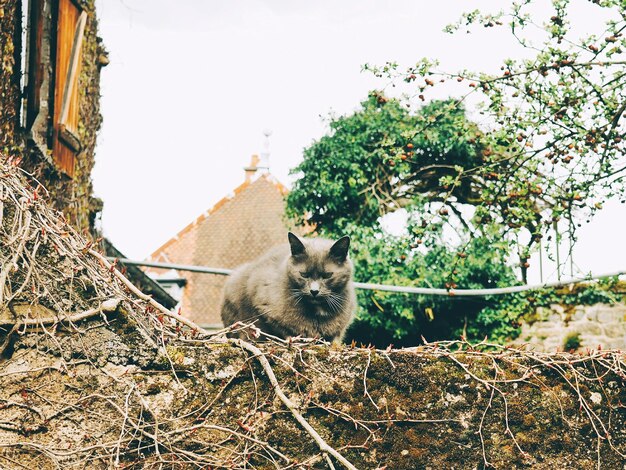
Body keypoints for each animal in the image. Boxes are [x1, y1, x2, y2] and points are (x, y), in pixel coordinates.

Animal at [219, 231, 356, 342]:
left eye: (327, 275)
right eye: (304, 274)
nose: (314, 291)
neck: (316, 312)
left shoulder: (337, 332)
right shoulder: (263, 306)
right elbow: (282, 329)